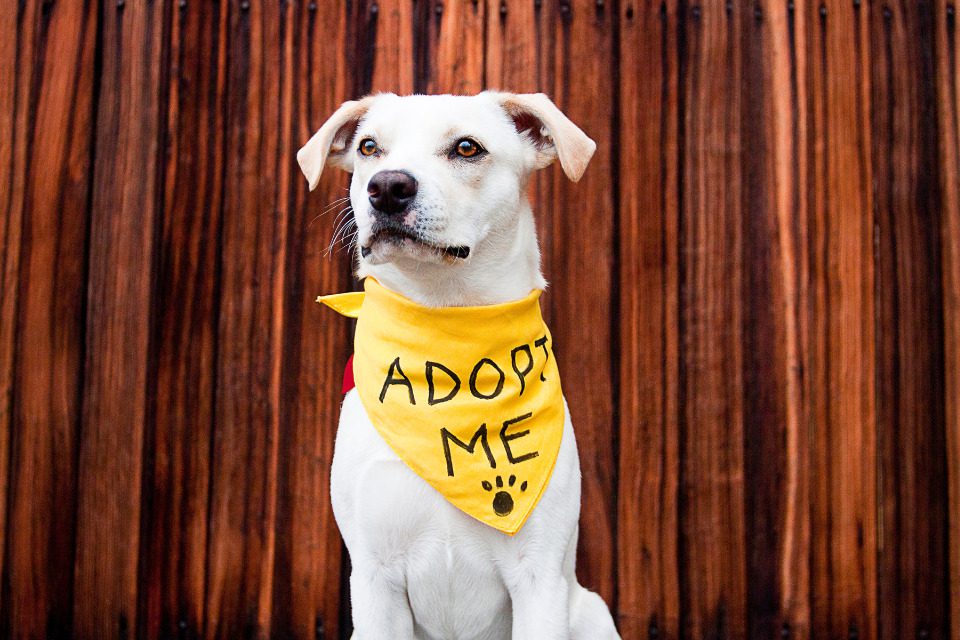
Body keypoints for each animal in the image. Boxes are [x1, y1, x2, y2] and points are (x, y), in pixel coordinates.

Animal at [296, 91, 620, 640]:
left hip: (591, 610)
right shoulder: (376, 579)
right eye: (369, 147)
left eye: (467, 147)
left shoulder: (540, 577)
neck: (445, 320)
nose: (388, 188)